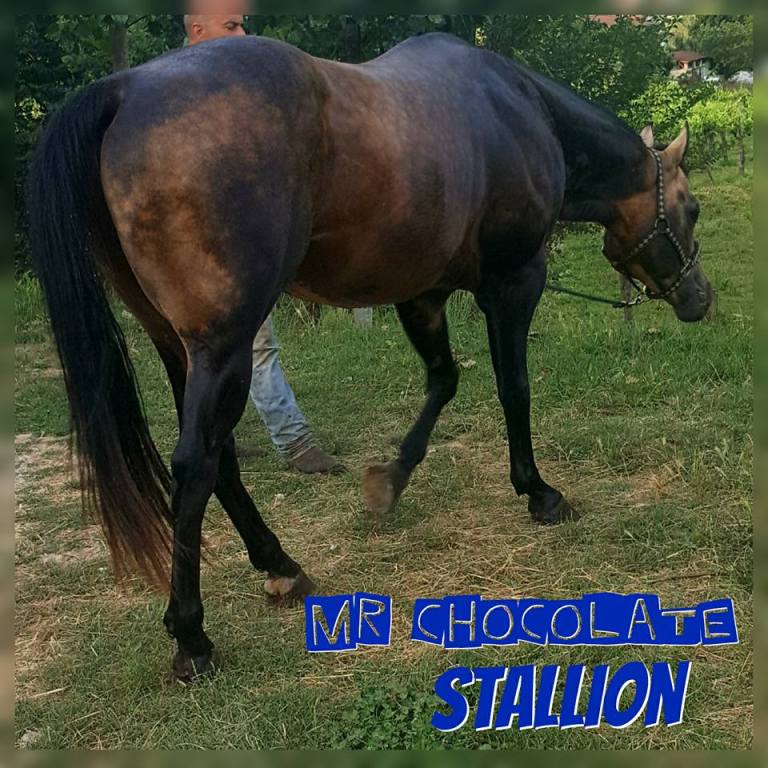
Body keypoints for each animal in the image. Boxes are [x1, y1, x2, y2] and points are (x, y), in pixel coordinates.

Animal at [27, 32, 712, 681]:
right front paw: (539, 492)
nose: (699, 299)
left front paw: (391, 479)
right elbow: (512, 387)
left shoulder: (422, 294)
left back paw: (280, 565)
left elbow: (444, 381)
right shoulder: (514, 281)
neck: (518, 108)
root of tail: (125, 89)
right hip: (223, 347)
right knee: (196, 464)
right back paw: (192, 637)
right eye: (693, 207)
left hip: (178, 347)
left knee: (219, 461)